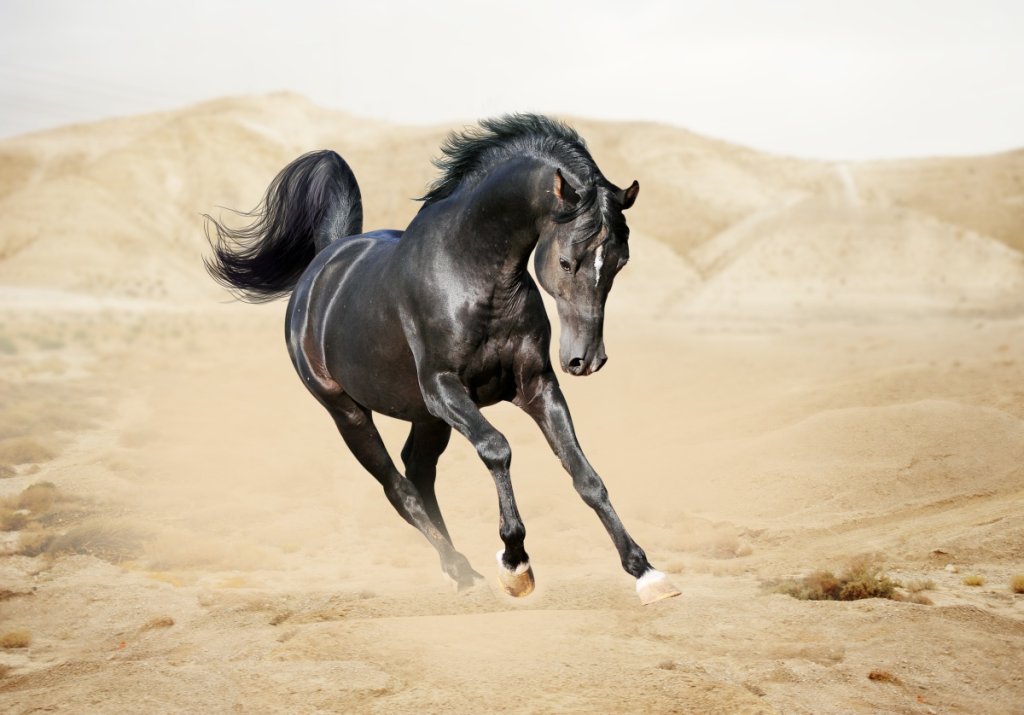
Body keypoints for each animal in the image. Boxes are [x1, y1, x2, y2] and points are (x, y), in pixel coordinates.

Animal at [205, 113, 680, 605]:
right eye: (567, 261)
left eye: (621, 261)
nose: (585, 359)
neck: (474, 275)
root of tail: (322, 266)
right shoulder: (443, 388)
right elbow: (497, 448)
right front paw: (515, 563)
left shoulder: (536, 385)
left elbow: (584, 475)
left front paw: (646, 572)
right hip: (348, 412)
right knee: (398, 487)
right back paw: (462, 570)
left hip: (425, 416)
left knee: (418, 472)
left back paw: (459, 568)